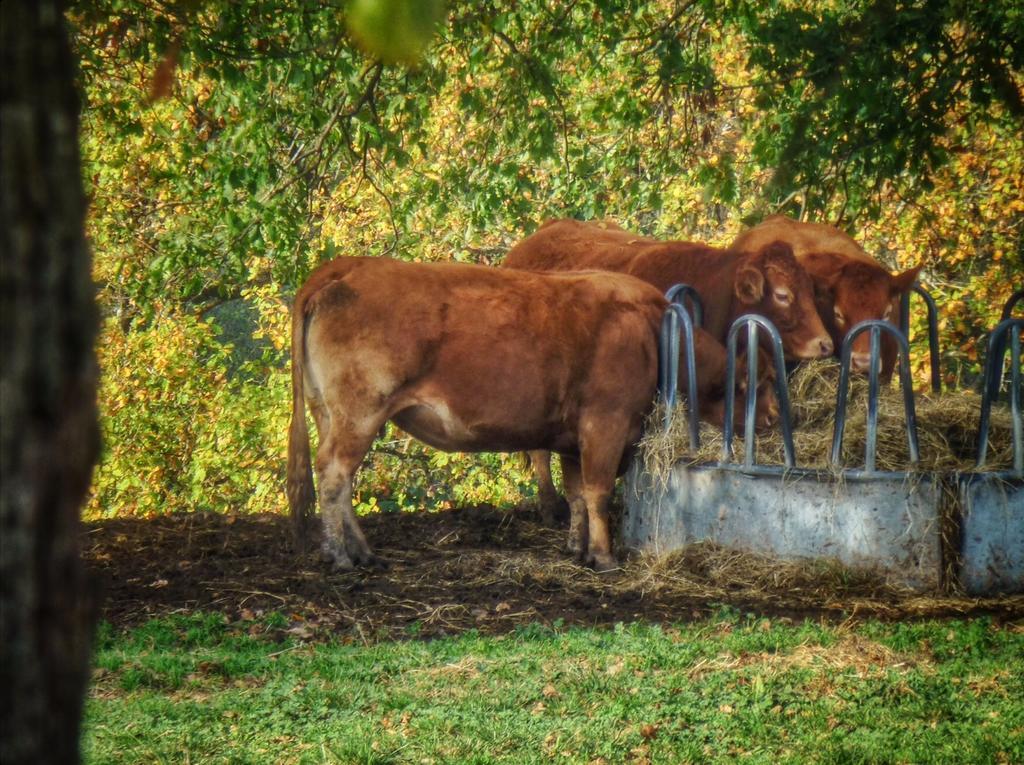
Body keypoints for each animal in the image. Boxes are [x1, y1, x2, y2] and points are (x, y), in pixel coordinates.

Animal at [288, 257, 667, 573]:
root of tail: (349, 264)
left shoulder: (573, 438)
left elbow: (577, 495)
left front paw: (577, 548)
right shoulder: (606, 421)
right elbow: (598, 493)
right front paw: (604, 558)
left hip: (327, 411)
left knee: (341, 476)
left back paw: (362, 552)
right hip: (360, 412)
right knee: (334, 473)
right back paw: (340, 556)